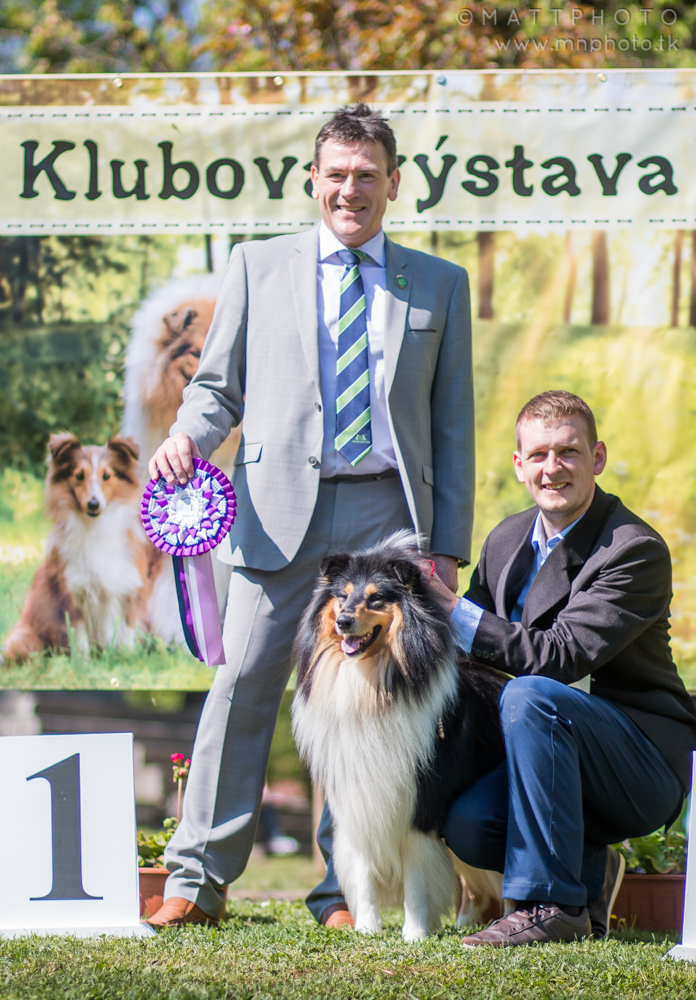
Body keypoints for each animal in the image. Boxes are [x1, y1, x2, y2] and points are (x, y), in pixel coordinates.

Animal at [3, 432, 182, 662]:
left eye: (106, 476)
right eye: (79, 476)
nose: (93, 504)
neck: (96, 527)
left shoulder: (129, 590)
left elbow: (127, 630)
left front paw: (128, 657)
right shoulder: (73, 593)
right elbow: (79, 637)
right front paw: (83, 663)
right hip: (28, 636)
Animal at [291, 531, 507, 941]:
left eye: (376, 597)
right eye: (342, 595)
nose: (343, 621)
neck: (371, 686)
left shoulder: (419, 804)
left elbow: (416, 879)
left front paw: (415, 933)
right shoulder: (357, 799)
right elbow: (363, 875)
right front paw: (367, 929)